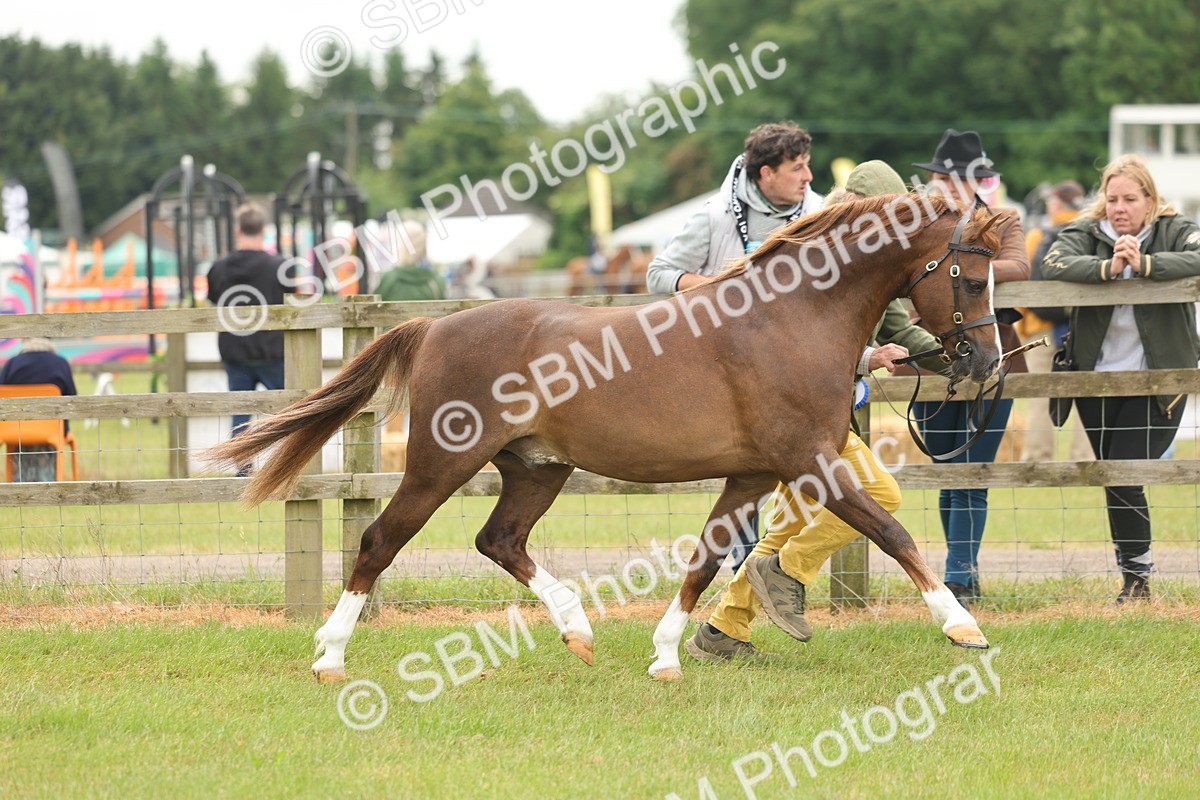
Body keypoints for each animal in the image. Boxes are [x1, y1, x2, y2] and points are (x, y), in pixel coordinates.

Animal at [202, 193, 1005, 683]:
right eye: (970, 279)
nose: (984, 364)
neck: (787, 320)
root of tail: (434, 328)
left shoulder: (751, 475)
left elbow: (703, 562)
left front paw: (666, 657)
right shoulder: (810, 465)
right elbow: (893, 534)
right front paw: (963, 627)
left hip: (536, 468)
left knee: (499, 541)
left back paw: (577, 630)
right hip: (441, 464)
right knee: (379, 542)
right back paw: (330, 657)